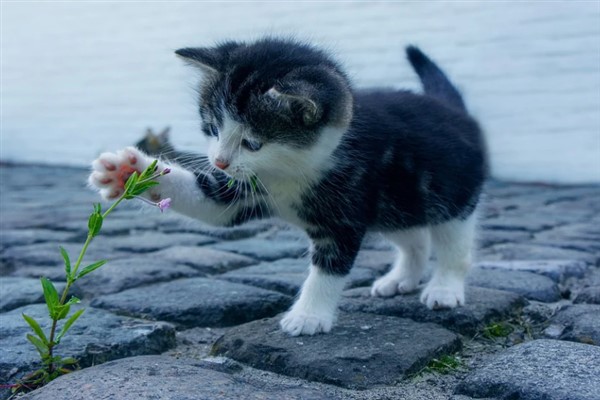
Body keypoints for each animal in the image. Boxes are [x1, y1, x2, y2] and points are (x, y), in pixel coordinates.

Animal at [89, 38, 488, 338]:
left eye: (253, 142)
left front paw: (309, 315)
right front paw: (128, 171)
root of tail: (455, 111)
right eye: (213, 128)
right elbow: (211, 203)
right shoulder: (243, 189)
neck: (290, 170)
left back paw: (444, 288)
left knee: (453, 243)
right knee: (414, 237)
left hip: (452, 195)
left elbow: (329, 267)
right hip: (396, 203)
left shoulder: (346, 208)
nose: (219, 161)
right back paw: (401, 278)